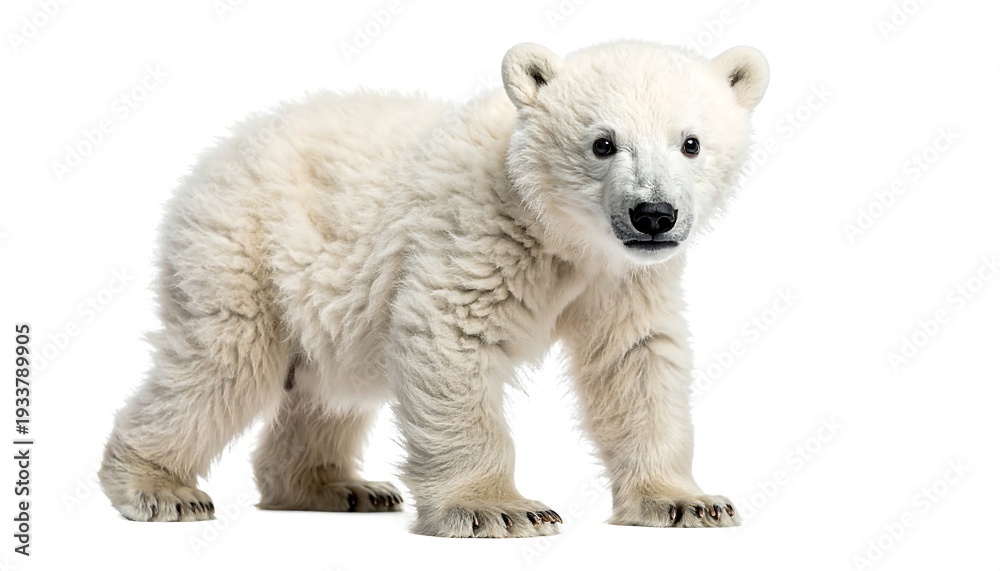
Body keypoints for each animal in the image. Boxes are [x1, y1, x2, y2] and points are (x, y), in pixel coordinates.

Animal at [98, 40, 769, 537]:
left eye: (691, 143)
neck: (558, 234)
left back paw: (342, 487)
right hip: (245, 252)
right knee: (222, 367)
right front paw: (499, 509)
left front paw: (687, 502)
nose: (653, 215)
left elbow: (636, 360)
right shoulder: (477, 231)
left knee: (324, 390)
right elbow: (454, 337)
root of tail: (213, 157)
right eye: (603, 143)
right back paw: (158, 487)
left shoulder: (624, 279)